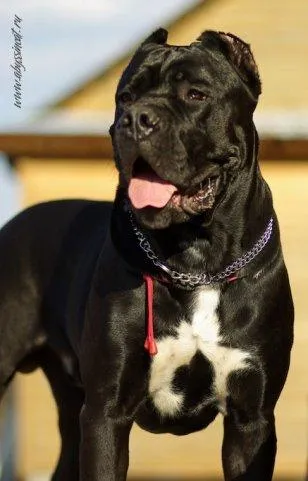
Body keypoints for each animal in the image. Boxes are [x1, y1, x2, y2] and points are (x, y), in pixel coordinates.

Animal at [0, 30, 294, 480]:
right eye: (125, 96)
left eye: (195, 94)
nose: (136, 118)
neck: (197, 259)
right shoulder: (106, 413)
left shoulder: (252, 418)